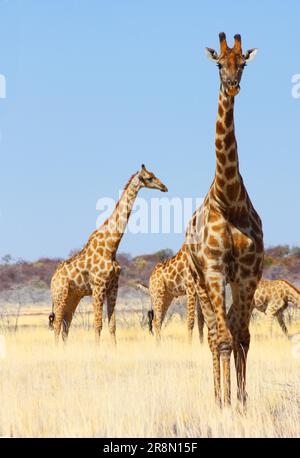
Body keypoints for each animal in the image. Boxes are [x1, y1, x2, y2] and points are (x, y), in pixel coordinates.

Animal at [48, 165, 168, 344]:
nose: (164, 187)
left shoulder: (113, 287)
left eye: (154, 174)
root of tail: (52, 280)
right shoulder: (98, 287)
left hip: (73, 297)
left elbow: (112, 326)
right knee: (56, 326)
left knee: (65, 326)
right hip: (60, 295)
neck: (111, 247)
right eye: (149, 178)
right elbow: (98, 325)